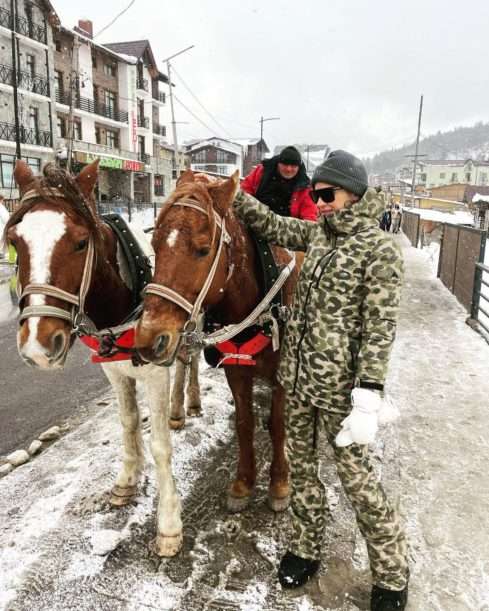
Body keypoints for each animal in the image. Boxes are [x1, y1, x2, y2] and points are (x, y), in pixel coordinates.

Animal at [5, 160, 194, 556]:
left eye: (80, 242)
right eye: (15, 242)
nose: (37, 347)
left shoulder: (154, 370)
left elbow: (160, 446)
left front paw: (169, 522)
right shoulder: (114, 370)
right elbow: (128, 421)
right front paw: (127, 479)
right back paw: (179, 409)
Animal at [135, 171, 300, 512]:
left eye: (202, 250)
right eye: (155, 244)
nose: (149, 337)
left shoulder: (282, 371)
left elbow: (278, 424)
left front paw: (279, 482)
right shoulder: (236, 369)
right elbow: (244, 422)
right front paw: (243, 482)